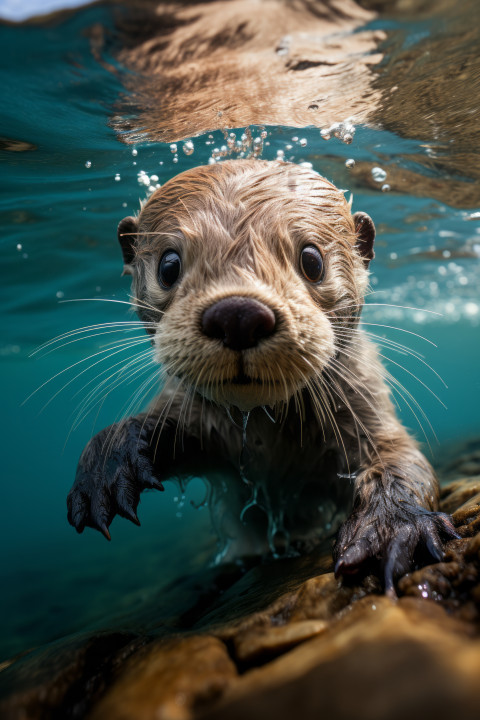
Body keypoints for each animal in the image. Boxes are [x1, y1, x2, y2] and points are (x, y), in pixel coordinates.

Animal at [67, 159, 456, 593]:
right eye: (168, 265)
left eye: (312, 260)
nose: (238, 314)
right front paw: (109, 460)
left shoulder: (364, 404)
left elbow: (400, 460)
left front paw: (391, 527)